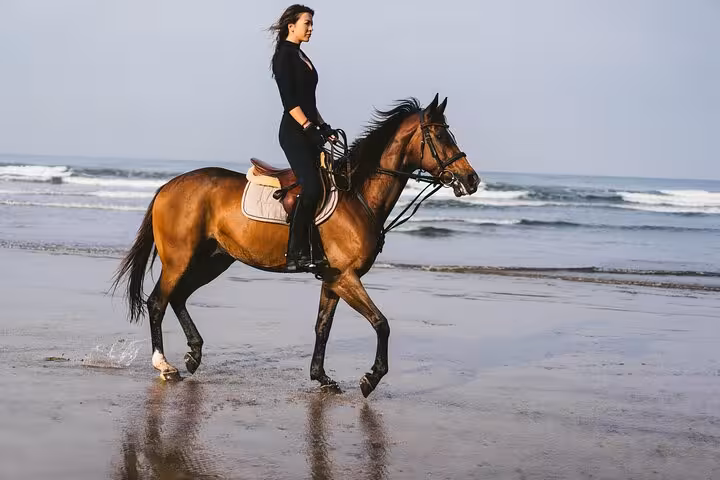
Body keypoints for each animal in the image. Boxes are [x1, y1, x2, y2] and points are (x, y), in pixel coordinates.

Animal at [112, 94, 480, 397]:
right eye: (441, 136)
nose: (472, 179)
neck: (357, 194)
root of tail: (167, 186)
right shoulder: (346, 277)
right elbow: (381, 323)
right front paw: (371, 377)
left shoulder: (333, 279)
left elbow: (322, 327)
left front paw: (322, 377)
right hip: (180, 259)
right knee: (158, 301)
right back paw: (165, 365)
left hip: (214, 259)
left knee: (178, 297)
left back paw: (194, 354)